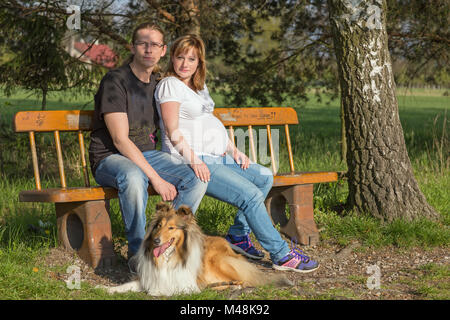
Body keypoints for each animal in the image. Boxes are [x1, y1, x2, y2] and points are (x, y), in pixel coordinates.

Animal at [103, 204, 292, 296]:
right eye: (158, 226)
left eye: (171, 228)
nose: (156, 241)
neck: (169, 258)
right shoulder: (150, 277)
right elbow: (127, 285)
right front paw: (106, 289)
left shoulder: (184, 283)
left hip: (219, 262)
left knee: (243, 281)